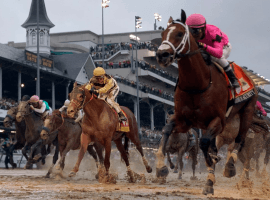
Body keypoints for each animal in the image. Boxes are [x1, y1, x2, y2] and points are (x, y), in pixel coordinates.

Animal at [154, 10, 258, 195]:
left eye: (180, 33)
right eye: (162, 34)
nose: (162, 55)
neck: (198, 84)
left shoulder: (218, 120)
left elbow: (204, 144)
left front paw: (210, 179)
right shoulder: (184, 120)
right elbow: (166, 131)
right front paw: (161, 168)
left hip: (247, 110)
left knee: (240, 140)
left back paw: (230, 167)